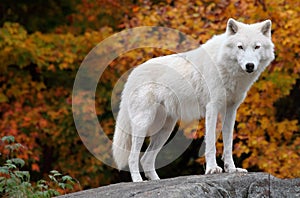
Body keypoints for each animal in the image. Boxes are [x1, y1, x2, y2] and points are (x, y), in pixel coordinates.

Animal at [112, 17, 274, 182]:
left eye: (257, 47)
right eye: (240, 47)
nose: (250, 65)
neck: (225, 66)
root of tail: (133, 73)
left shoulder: (230, 110)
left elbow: (228, 144)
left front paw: (232, 169)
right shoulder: (212, 108)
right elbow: (211, 142)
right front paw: (212, 169)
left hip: (165, 129)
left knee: (145, 159)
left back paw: (155, 180)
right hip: (143, 124)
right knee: (133, 157)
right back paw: (138, 181)